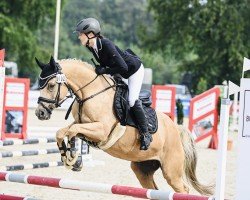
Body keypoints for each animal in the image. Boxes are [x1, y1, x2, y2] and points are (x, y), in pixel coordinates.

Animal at [34, 55, 212, 195]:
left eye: (51, 85)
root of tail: (176, 129)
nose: (40, 113)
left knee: (182, 189)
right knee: (153, 189)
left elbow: (71, 130)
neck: (91, 93)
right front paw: (73, 160)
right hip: (142, 169)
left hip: (171, 171)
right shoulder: (84, 127)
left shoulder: (101, 130)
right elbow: (64, 131)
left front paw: (72, 158)